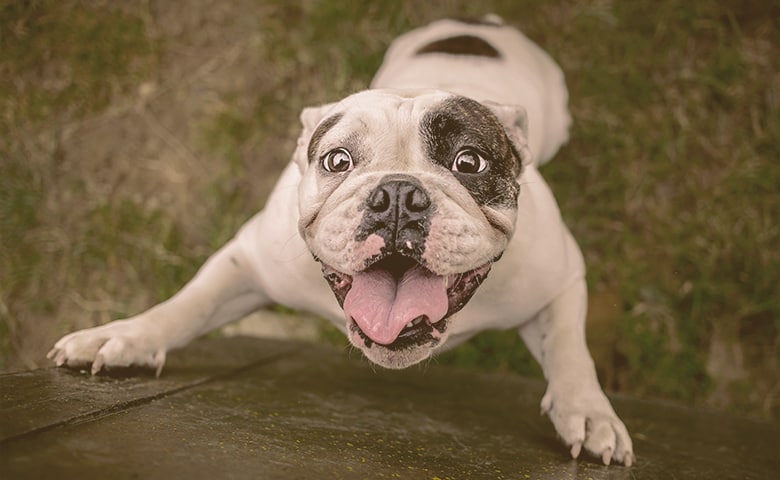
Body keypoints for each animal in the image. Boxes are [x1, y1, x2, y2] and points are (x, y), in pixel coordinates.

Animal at [47, 15, 632, 464]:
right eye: (337, 160)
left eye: (470, 162)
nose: (398, 194)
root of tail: (479, 22)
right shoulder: (249, 263)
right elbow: (189, 304)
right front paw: (124, 337)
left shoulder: (560, 277)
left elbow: (571, 348)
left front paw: (589, 412)